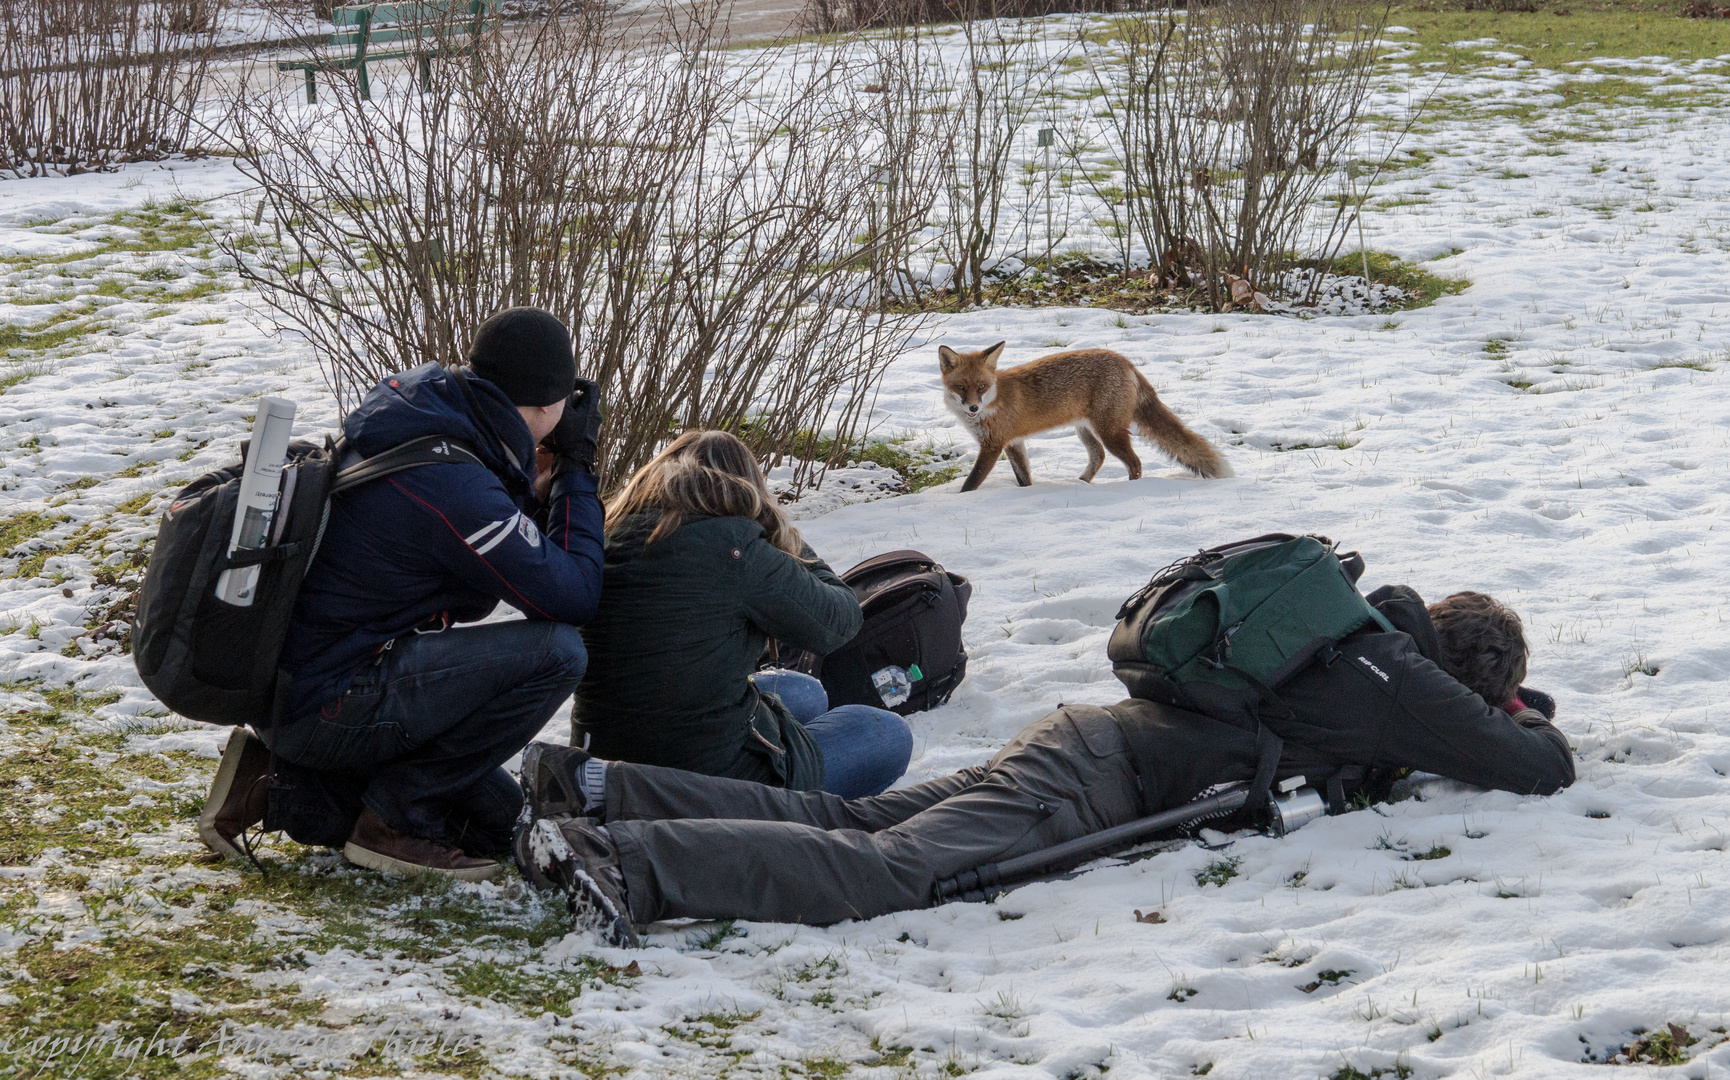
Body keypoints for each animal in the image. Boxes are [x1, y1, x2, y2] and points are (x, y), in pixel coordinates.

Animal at [948, 340, 1231, 495]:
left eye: (982, 387)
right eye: (960, 387)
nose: (972, 408)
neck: (994, 400)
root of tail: (1125, 361)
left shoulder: (993, 445)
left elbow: (972, 482)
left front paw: (960, 500)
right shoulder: (1014, 443)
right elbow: (1024, 478)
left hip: (1109, 432)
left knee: (1135, 463)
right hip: (1086, 430)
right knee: (1099, 456)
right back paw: (1081, 485)